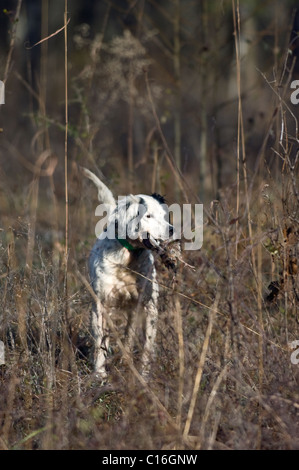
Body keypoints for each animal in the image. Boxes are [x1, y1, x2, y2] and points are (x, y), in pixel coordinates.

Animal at [83, 167, 175, 380]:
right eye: (148, 216)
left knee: (129, 336)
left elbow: (147, 345)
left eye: (164, 215)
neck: (127, 260)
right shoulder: (100, 305)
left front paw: (144, 374)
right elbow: (100, 343)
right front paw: (100, 374)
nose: (172, 230)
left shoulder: (149, 307)